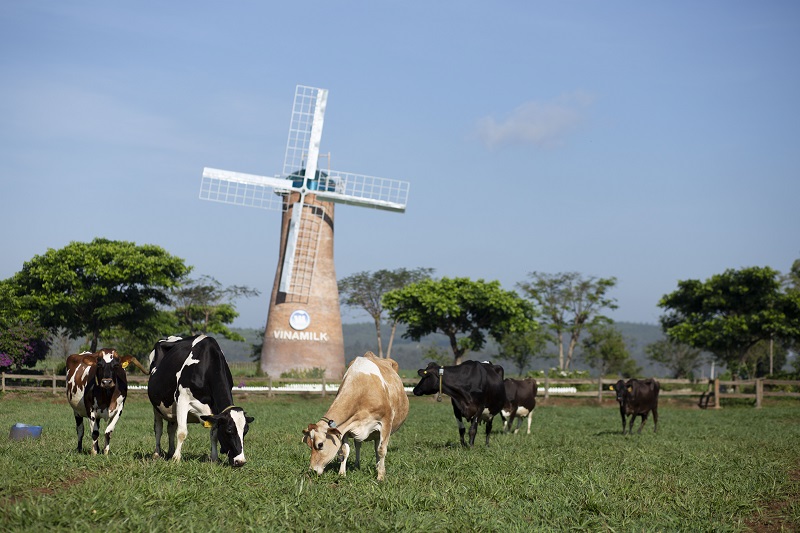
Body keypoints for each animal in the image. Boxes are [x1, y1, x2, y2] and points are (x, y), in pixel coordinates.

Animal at [147, 334, 253, 468]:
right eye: (229, 430)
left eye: (245, 430)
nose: (240, 461)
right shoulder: (182, 399)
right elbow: (182, 432)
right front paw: (176, 459)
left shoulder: (215, 411)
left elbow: (214, 435)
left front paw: (214, 458)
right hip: (156, 406)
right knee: (158, 429)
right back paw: (157, 453)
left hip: (172, 410)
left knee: (171, 429)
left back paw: (171, 452)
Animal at [304, 352, 410, 480]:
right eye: (309, 445)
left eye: (320, 444)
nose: (312, 470)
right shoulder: (345, 427)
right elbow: (345, 450)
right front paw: (342, 474)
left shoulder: (385, 423)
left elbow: (381, 450)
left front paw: (380, 476)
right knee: (359, 444)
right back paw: (357, 466)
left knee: (377, 448)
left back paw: (378, 467)